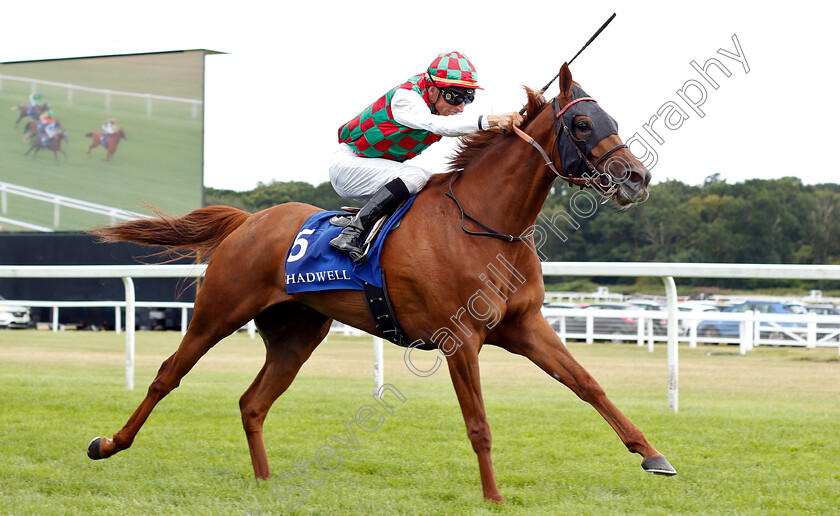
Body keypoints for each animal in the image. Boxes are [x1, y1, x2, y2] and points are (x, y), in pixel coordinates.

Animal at [85, 62, 676, 502]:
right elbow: (479, 423)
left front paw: (653, 454)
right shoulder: (461, 339)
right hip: (219, 310)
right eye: (582, 125)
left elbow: (588, 384)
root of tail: (248, 221)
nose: (637, 177)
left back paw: (266, 481)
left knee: (252, 402)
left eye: (611, 117)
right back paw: (109, 443)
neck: (487, 223)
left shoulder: (526, 326)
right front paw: (493, 496)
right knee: (167, 375)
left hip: (297, 332)